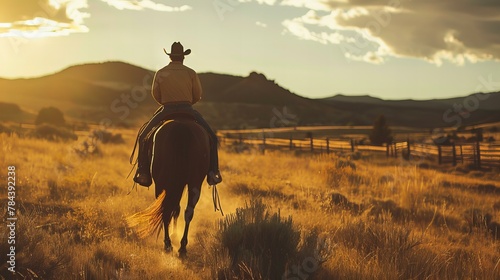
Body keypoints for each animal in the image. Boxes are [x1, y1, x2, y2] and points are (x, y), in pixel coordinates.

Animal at [128, 116, 210, 256]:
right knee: (188, 212)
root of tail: (181, 128)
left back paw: (168, 244)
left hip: (162, 184)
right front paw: (175, 234)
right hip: (194, 183)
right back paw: (182, 247)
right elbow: (177, 208)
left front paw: (173, 235)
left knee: (165, 211)